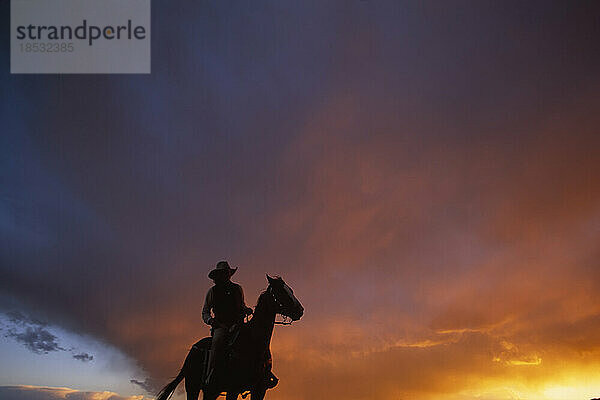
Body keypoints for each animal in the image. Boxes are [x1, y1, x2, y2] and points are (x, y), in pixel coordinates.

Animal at [156, 276, 304, 400]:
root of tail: (194, 348)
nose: (300, 310)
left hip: (212, 391)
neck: (254, 344)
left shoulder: (259, 390)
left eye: (290, 290)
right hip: (193, 387)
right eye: (281, 291)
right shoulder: (233, 389)